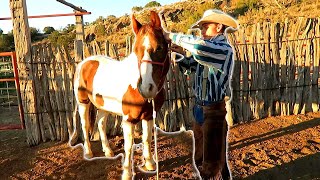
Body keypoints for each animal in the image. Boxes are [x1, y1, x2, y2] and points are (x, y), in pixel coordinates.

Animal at [69, 10, 170, 179]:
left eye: (160, 48)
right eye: (136, 50)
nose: (146, 88)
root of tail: (85, 62)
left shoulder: (149, 115)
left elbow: (147, 138)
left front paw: (150, 164)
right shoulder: (128, 120)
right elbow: (128, 146)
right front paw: (127, 173)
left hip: (103, 105)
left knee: (101, 124)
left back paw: (108, 151)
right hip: (83, 103)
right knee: (85, 125)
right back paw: (88, 152)